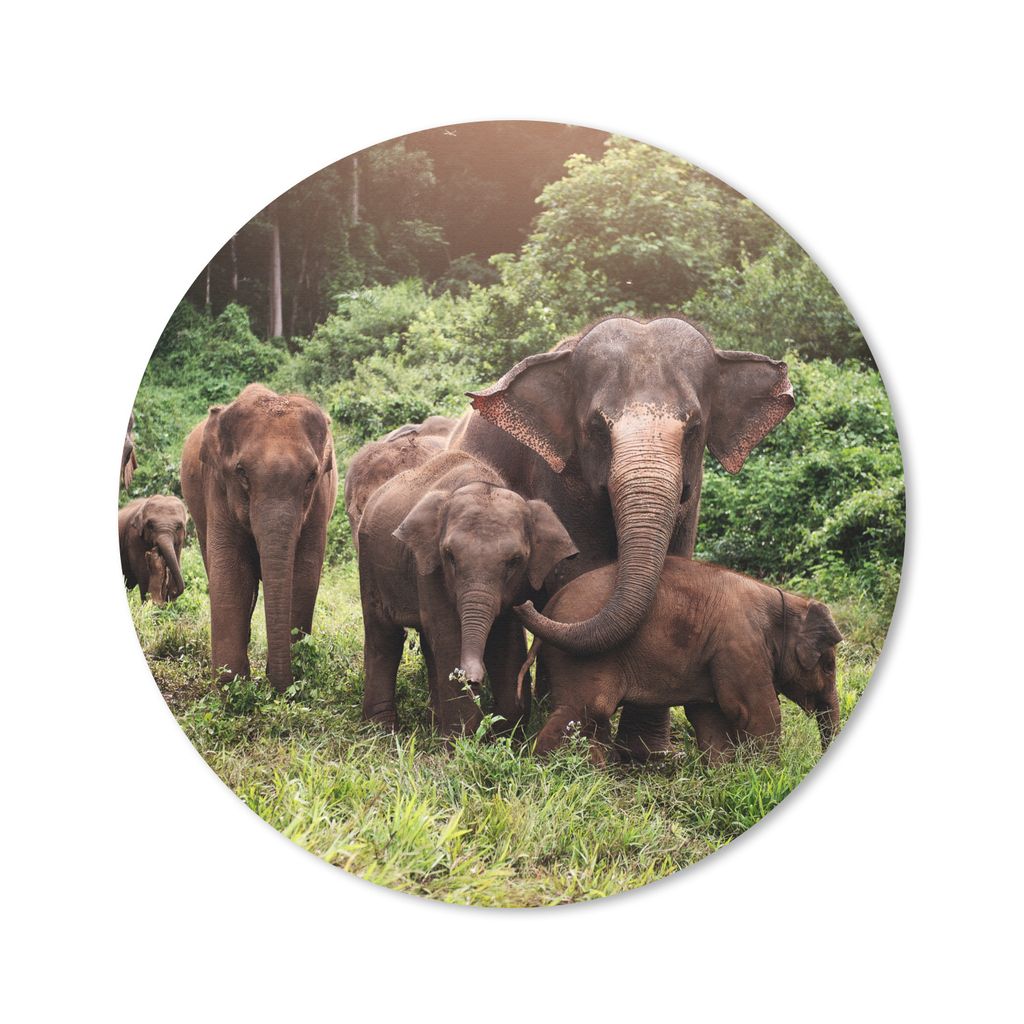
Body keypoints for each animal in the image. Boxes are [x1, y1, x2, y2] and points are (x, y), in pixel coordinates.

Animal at [180, 384, 339, 692]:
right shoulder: (217, 486)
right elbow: (232, 573)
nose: (279, 685)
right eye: (241, 472)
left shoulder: (320, 498)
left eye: (311, 476)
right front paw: (231, 687)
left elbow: (303, 573)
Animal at [357, 450, 577, 736]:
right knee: (384, 637)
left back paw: (432, 722)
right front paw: (459, 741)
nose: (473, 678)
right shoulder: (428, 568)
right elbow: (450, 637)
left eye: (515, 561)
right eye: (449, 555)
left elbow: (506, 641)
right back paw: (382, 731)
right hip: (369, 562)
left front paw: (505, 735)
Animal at [453, 315, 794, 758]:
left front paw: (649, 756)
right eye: (597, 428)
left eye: (694, 428)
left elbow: (675, 562)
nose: (523, 603)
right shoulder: (559, 478)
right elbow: (580, 571)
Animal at [527, 557, 843, 766]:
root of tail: (550, 606)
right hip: (580, 660)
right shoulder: (740, 645)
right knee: (585, 710)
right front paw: (768, 773)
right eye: (828, 666)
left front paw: (725, 774)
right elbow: (757, 712)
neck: (785, 601)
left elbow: (710, 715)